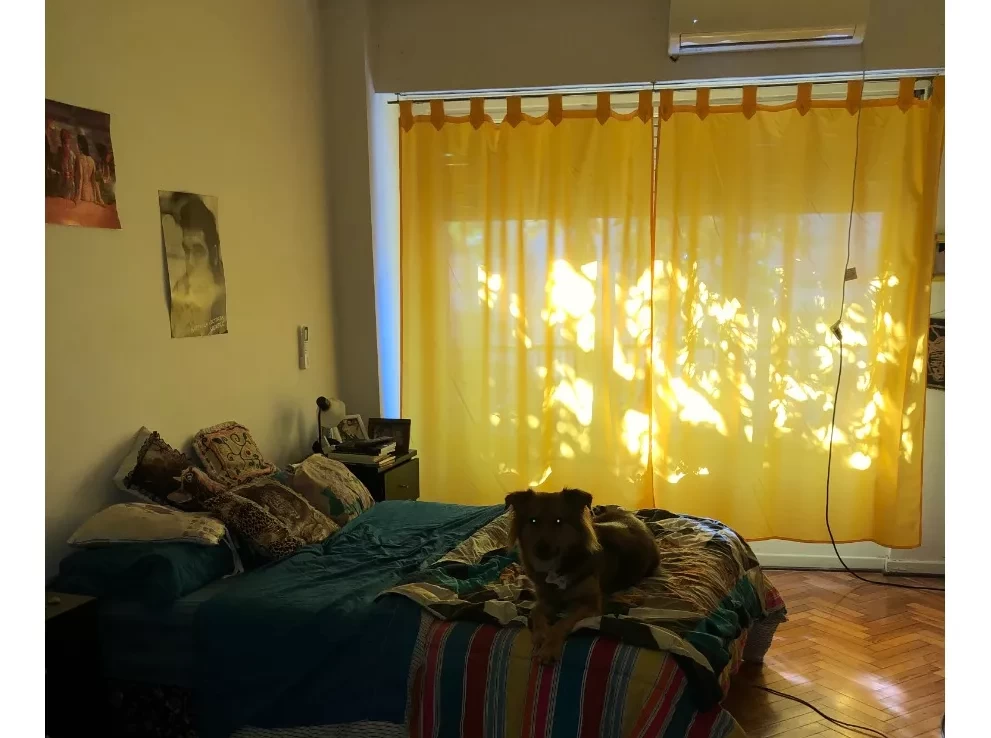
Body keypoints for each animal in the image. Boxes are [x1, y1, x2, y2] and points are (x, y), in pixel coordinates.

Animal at [505, 488, 660, 664]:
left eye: (559, 521)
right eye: (533, 520)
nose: (541, 549)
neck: (560, 566)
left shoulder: (590, 604)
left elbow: (562, 622)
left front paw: (549, 648)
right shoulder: (546, 599)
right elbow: (535, 612)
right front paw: (540, 635)